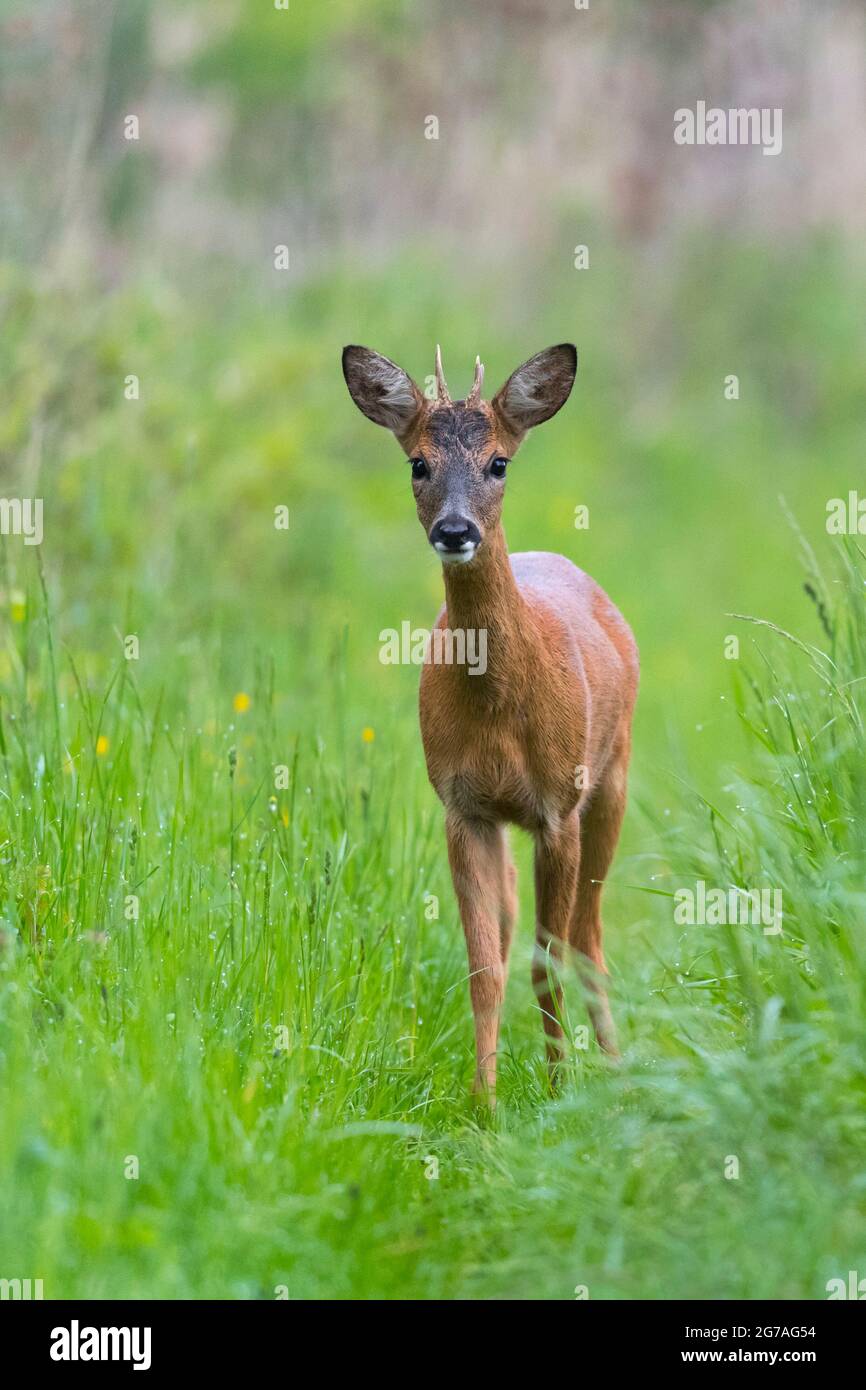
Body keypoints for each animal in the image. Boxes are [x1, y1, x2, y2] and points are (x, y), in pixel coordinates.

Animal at [343, 344, 636, 1095]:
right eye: (417, 463)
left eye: (499, 462)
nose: (455, 530)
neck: (501, 711)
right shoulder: (464, 807)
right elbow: (485, 968)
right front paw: (486, 1103)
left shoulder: (558, 807)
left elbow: (547, 960)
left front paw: (561, 1092)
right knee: (517, 937)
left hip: (612, 779)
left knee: (590, 940)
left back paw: (617, 1068)